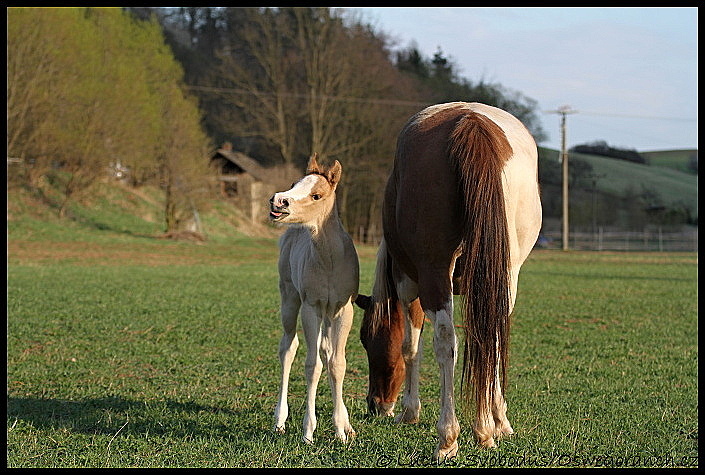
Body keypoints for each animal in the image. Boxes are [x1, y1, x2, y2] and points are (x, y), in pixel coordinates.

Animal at [268, 155, 360, 446]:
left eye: (316, 195)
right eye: (293, 184)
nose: (278, 201)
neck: (329, 260)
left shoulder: (343, 310)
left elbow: (337, 364)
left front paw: (341, 430)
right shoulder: (311, 307)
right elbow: (312, 366)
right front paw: (309, 431)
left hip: (328, 315)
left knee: (328, 352)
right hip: (289, 299)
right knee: (288, 348)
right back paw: (280, 421)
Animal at [354, 103, 540, 458]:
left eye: (367, 340)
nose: (376, 405)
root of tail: (470, 122)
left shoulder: (408, 285)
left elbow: (411, 347)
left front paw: (410, 411)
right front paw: (499, 420)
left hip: (435, 275)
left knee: (446, 343)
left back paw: (449, 436)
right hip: (504, 276)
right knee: (492, 338)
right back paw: (489, 426)